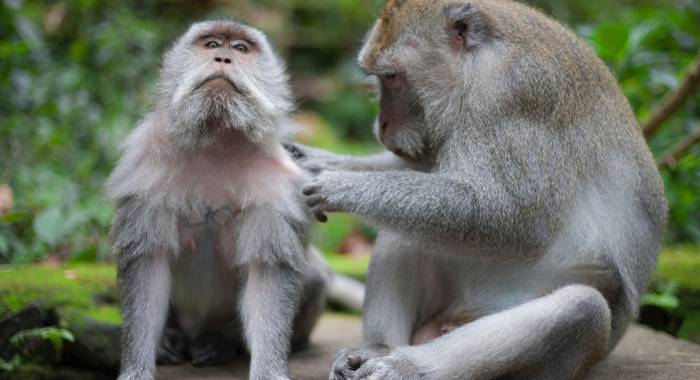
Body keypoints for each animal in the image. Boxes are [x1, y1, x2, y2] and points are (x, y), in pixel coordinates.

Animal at [107, 20, 328, 380]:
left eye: (240, 49)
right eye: (211, 44)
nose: (223, 58)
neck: (217, 139)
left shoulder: (277, 184)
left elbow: (268, 272)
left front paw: (267, 371)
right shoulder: (145, 168)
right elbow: (147, 261)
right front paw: (137, 370)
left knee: (315, 276)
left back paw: (220, 343)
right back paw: (169, 340)